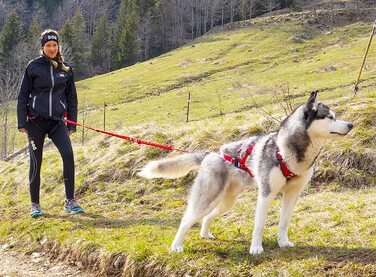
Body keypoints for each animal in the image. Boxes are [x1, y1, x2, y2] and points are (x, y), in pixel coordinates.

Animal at [138, 91, 352, 254]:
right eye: (330, 117)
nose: (351, 125)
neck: (290, 152)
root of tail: (211, 154)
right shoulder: (266, 193)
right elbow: (259, 224)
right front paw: (256, 248)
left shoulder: (293, 194)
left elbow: (284, 222)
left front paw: (283, 242)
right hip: (207, 197)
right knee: (186, 220)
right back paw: (176, 246)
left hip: (227, 202)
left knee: (207, 217)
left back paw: (205, 234)